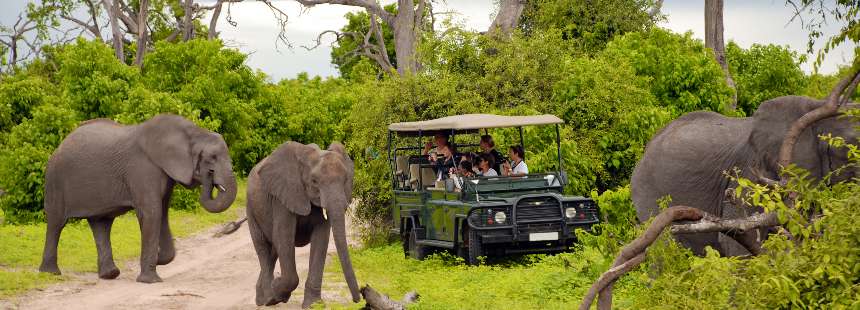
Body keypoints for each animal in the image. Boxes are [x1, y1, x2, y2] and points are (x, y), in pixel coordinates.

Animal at [39, 114, 237, 284]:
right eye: (211, 158)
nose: (210, 177)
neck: (193, 131)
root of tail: (60, 144)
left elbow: (162, 213)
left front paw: (158, 259)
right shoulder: (142, 168)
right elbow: (152, 213)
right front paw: (150, 280)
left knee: (101, 224)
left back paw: (109, 275)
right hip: (55, 180)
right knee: (56, 223)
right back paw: (50, 273)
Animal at [245, 141, 360, 308]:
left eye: (345, 180)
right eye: (314, 181)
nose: (358, 299)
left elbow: (321, 239)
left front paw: (313, 305)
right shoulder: (282, 196)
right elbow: (284, 235)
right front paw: (277, 290)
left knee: (273, 250)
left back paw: (264, 298)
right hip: (251, 209)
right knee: (263, 247)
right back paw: (269, 299)